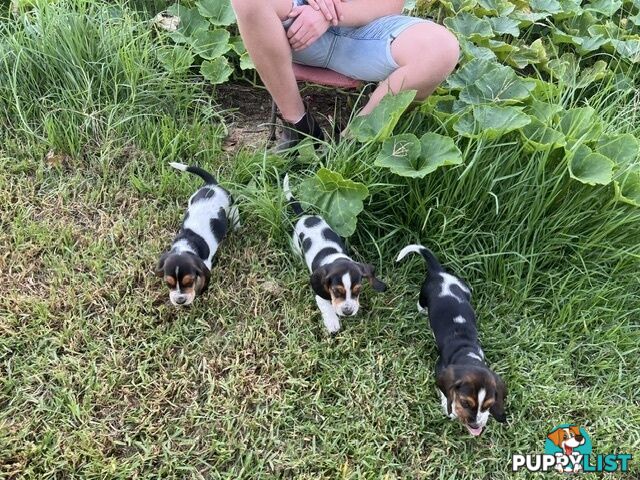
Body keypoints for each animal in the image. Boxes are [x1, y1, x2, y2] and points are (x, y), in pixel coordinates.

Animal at [156, 164, 240, 308]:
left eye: (189, 282)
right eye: (168, 283)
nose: (180, 301)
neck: (185, 245)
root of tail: (213, 185)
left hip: (231, 205)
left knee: (235, 212)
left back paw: (237, 226)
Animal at [284, 173, 384, 334]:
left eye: (358, 290)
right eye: (336, 291)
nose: (348, 312)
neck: (337, 259)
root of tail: (305, 216)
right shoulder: (320, 291)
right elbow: (327, 306)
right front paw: (332, 323)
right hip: (296, 243)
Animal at [396, 246, 504, 436]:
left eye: (488, 406)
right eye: (466, 403)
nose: (476, 426)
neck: (467, 351)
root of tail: (440, 273)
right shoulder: (440, 370)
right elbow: (446, 394)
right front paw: (450, 410)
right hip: (423, 297)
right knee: (421, 305)